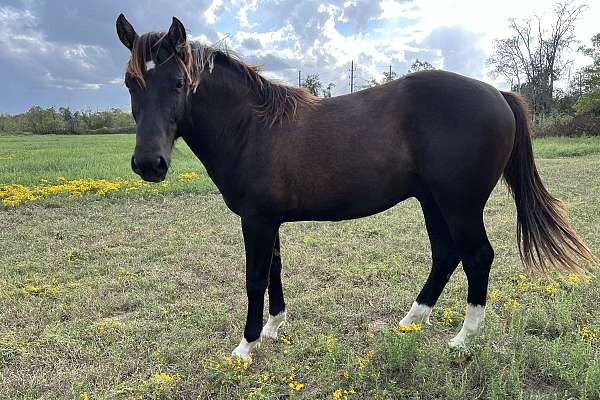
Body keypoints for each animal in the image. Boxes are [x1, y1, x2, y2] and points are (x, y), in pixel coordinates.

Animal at [116, 14, 596, 360]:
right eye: (130, 83)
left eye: (179, 82)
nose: (149, 164)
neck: (252, 128)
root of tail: (498, 94)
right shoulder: (269, 220)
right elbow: (274, 272)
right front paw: (273, 327)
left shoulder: (255, 221)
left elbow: (254, 279)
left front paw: (245, 346)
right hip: (433, 202)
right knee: (446, 255)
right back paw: (412, 319)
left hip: (460, 205)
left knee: (477, 257)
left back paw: (464, 338)